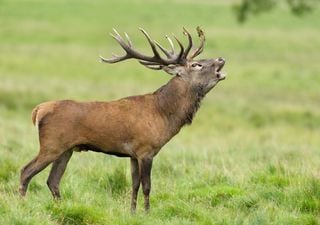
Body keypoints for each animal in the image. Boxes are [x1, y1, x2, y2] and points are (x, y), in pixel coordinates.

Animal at [18, 26, 226, 213]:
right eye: (196, 65)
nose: (221, 59)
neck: (163, 115)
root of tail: (38, 110)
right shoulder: (146, 149)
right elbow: (147, 186)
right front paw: (147, 213)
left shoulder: (133, 155)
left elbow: (134, 184)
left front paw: (132, 212)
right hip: (51, 144)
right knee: (26, 171)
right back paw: (22, 204)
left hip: (66, 149)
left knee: (52, 180)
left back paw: (61, 208)